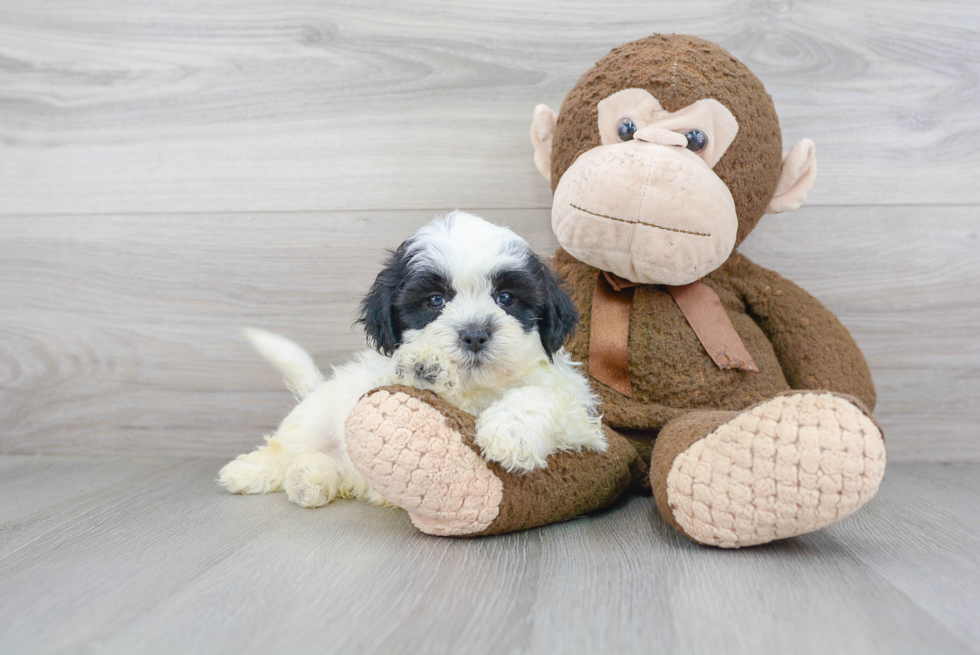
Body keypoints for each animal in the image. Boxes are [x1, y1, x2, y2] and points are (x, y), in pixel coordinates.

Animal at [219, 213, 608, 510]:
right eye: (435, 300)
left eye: (506, 297)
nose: (474, 334)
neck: (477, 390)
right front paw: (425, 368)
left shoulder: (581, 423)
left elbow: (539, 396)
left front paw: (510, 432)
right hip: (317, 415)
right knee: (288, 445)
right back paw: (252, 472)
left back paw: (310, 478)